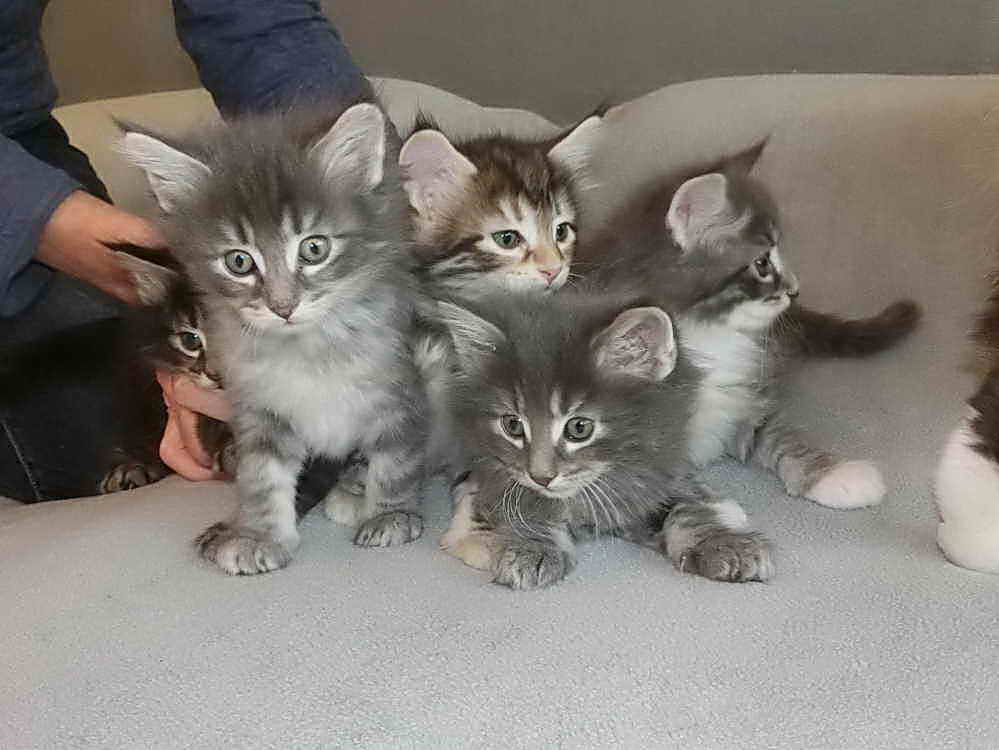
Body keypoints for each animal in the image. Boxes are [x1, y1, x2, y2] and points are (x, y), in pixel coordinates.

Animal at [121, 102, 430, 575]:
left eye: (314, 249)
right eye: (239, 261)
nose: (283, 306)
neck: (308, 350)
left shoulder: (401, 392)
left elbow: (396, 459)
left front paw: (390, 514)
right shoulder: (259, 410)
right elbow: (262, 478)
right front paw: (257, 536)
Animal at [436, 288, 773, 590]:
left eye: (579, 428)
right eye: (513, 426)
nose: (541, 476)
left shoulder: (656, 474)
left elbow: (690, 507)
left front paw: (726, 544)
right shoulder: (490, 470)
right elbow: (521, 503)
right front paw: (530, 546)